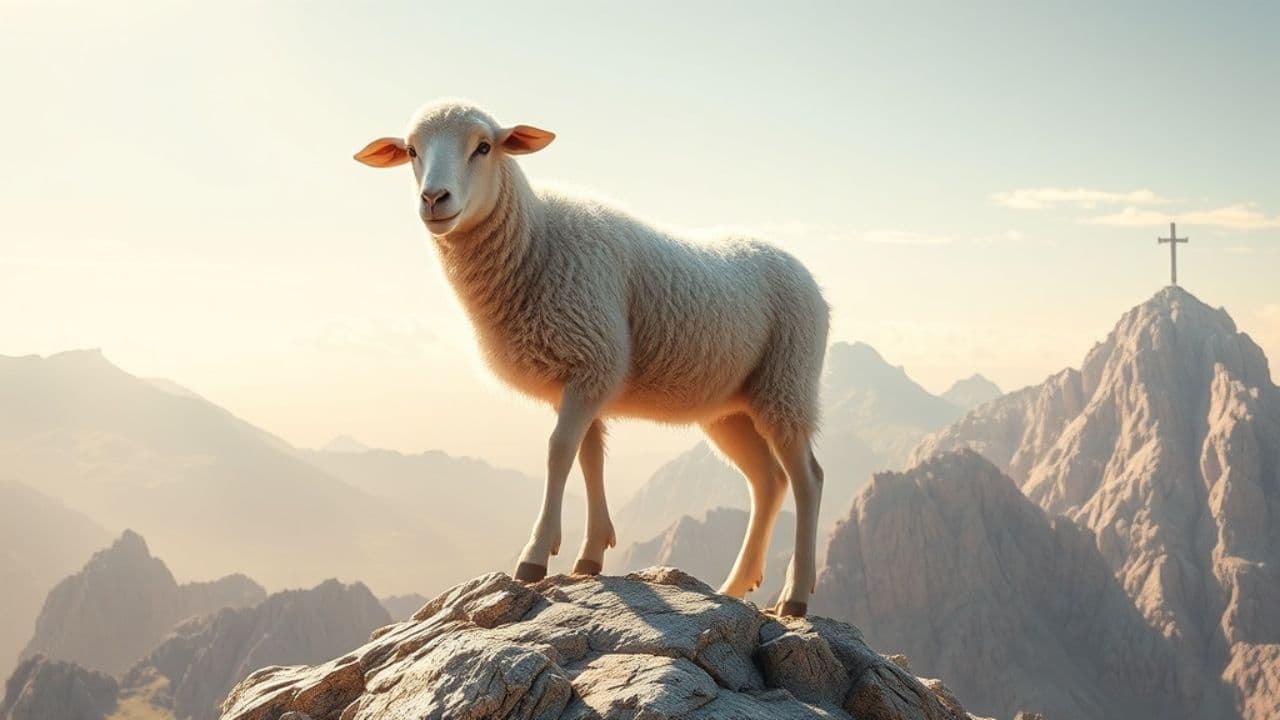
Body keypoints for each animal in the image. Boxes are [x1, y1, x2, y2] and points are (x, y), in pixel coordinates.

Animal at [355, 100, 829, 616]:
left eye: (483, 147)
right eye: (411, 151)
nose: (434, 199)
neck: (536, 238)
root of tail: (805, 273)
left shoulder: (592, 360)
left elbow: (559, 453)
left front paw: (535, 557)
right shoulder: (582, 373)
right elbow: (590, 458)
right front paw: (590, 555)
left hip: (787, 382)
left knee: (808, 479)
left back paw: (795, 596)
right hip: (730, 408)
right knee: (767, 482)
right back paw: (735, 585)